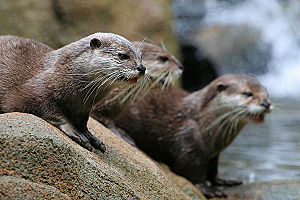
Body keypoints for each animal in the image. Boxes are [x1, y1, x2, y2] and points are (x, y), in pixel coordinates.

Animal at [0, 34, 145, 153]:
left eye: (141, 57)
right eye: (123, 55)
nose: (142, 68)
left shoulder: (83, 109)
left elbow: (83, 123)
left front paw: (92, 138)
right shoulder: (34, 92)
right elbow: (49, 111)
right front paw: (75, 132)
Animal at [112, 74, 272, 198]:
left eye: (267, 93)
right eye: (248, 93)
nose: (266, 103)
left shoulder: (214, 155)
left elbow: (213, 170)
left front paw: (224, 181)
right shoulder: (189, 144)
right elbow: (192, 171)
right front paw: (209, 189)